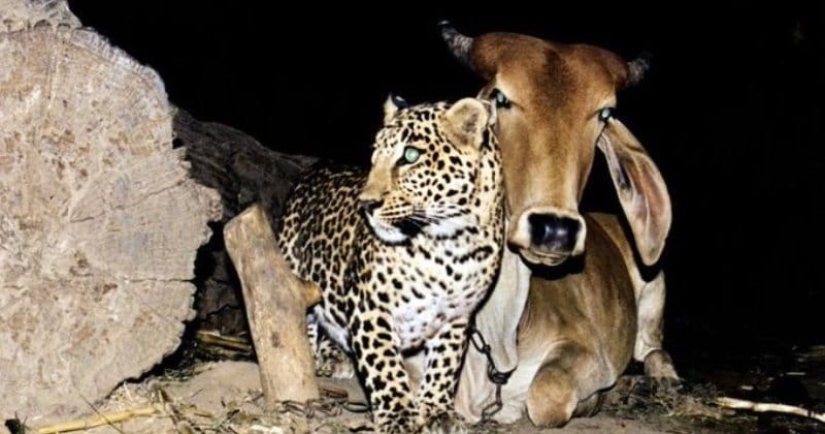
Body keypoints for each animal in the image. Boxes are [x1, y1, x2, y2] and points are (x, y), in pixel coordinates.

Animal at [275, 95, 504, 433]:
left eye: (410, 156)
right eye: (374, 157)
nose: (366, 204)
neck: (451, 244)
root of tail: (318, 166)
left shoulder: (458, 315)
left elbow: (445, 364)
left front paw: (438, 410)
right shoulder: (370, 307)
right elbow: (384, 364)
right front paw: (398, 415)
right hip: (292, 265)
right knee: (305, 315)